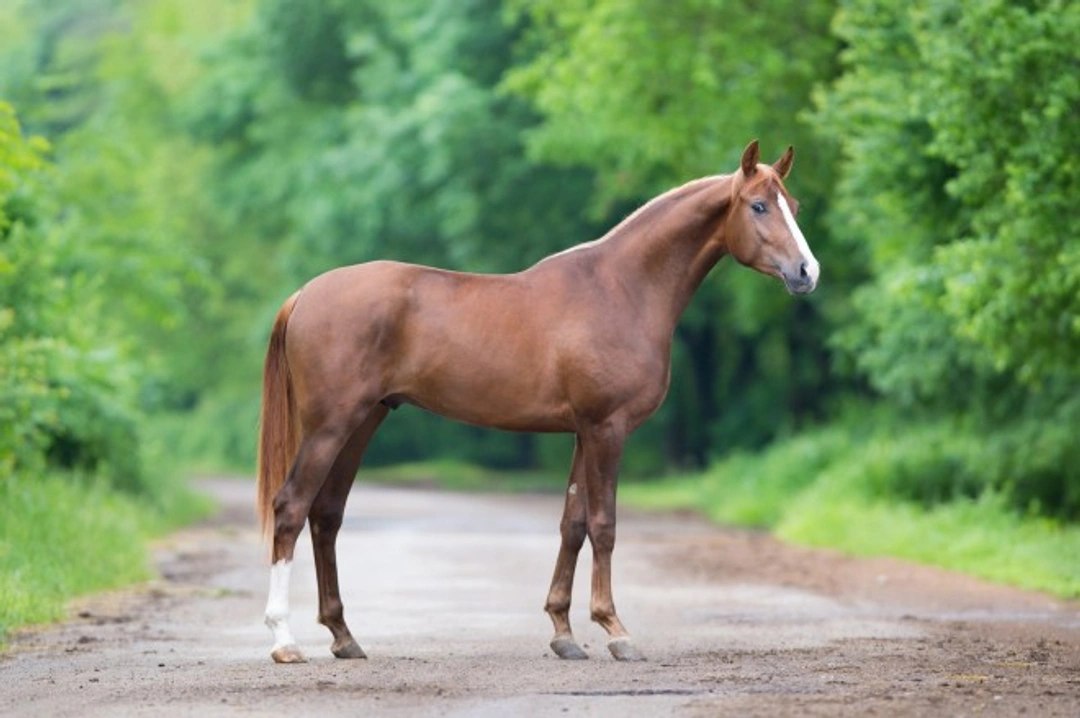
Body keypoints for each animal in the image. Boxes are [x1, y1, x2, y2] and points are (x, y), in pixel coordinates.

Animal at [256, 140, 820, 664]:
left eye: (792, 203)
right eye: (759, 206)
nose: (807, 272)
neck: (621, 289)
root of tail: (304, 295)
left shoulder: (583, 432)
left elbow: (572, 524)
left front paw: (564, 633)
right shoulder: (607, 429)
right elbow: (604, 526)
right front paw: (615, 630)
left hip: (364, 420)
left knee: (326, 515)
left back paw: (343, 636)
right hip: (331, 426)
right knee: (291, 507)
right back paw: (284, 641)